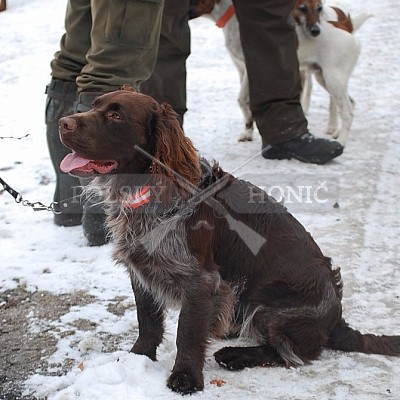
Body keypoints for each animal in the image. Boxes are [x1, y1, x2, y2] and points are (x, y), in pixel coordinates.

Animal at [58, 89, 400, 396]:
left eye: (116, 116)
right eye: (93, 105)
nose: (63, 123)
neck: (153, 193)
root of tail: (337, 320)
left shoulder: (200, 279)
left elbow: (187, 332)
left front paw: (186, 377)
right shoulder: (142, 269)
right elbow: (148, 322)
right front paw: (137, 358)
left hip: (269, 299)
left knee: (290, 353)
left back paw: (236, 355)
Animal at [191, 0, 372, 146]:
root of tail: (346, 26)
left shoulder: (250, 71)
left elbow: (242, 100)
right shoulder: (241, 69)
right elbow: (246, 104)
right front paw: (248, 131)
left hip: (333, 79)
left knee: (347, 111)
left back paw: (341, 141)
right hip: (324, 78)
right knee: (350, 103)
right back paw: (338, 132)